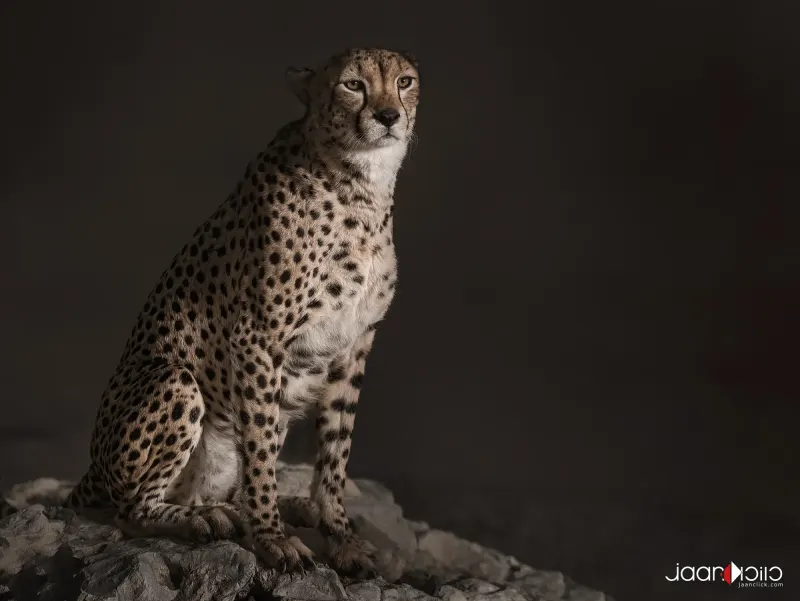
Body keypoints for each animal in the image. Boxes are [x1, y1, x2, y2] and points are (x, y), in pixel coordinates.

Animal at [0, 47, 420, 576]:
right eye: (353, 85)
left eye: (404, 82)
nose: (388, 116)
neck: (360, 184)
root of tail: (92, 471)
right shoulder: (257, 338)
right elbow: (259, 454)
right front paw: (271, 538)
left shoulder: (353, 346)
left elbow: (335, 453)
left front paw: (339, 535)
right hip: (173, 380)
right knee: (130, 511)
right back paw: (206, 519)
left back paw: (269, 508)